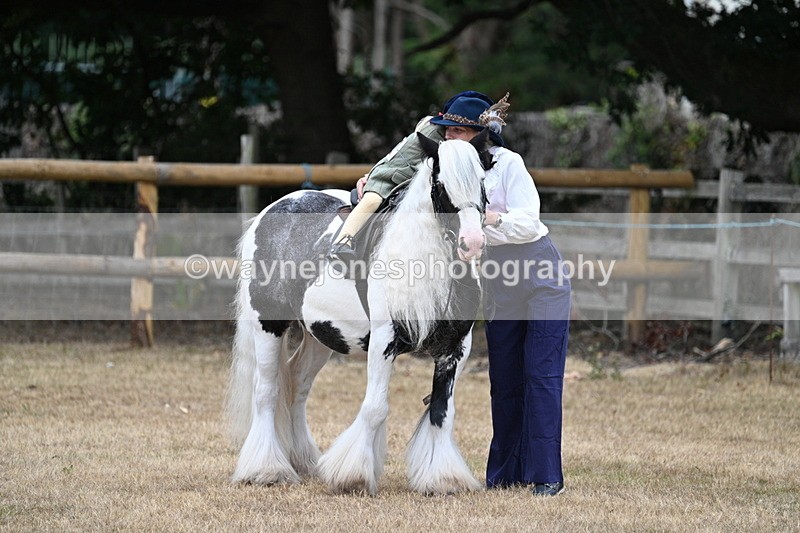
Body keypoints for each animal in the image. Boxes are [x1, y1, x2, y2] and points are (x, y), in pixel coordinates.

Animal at [226, 130, 490, 495]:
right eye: (439, 184)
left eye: (483, 181)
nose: (472, 242)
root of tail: (270, 212)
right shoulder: (384, 340)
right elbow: (375, 407)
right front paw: (353, 475)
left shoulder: (456, 349)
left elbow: (441, 411)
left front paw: (443, 479)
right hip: (268, 324)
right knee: (266, 392)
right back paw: (266, 470)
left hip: (319, 336)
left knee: (297, 386)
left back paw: (303, 460)